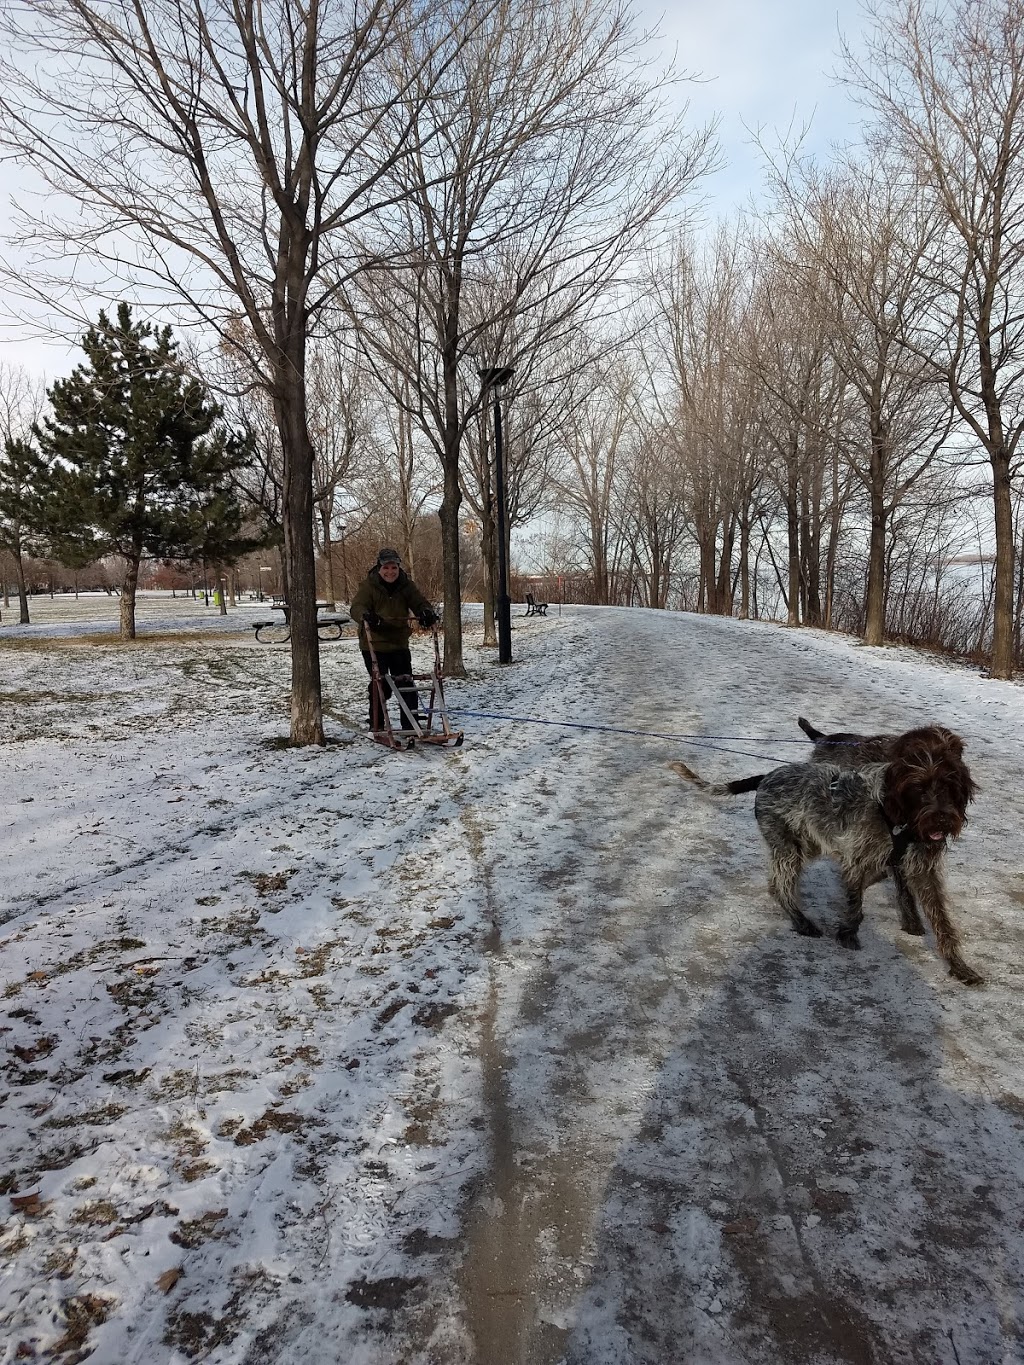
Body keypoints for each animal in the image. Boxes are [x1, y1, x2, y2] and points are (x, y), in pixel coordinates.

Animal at [674, 731, 988, 988]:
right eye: (919, 788)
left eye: (948, 786)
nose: (943, 819)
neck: (898, 818)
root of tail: (768, 776)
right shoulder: (857, 856)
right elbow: (855, 901)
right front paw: (848, 932)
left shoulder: (921, 869)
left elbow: (941, 922)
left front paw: (959, 966)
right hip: (789, 847)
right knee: (780, 885)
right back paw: (801, 920)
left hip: (808, 844)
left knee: (778, 882)